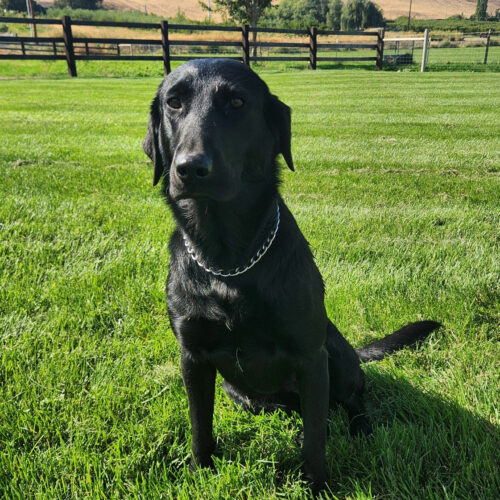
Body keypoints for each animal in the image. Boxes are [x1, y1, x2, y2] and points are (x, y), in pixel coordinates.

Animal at [143, 59, 440, 492]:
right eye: (174, 102)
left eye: (237, 102)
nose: (190, 168)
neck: (227, 262)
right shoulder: (193, 357)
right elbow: (200, 426)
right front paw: (202, 471)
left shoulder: (311, 357)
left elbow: (316, 440)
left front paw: (317, 487)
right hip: (238, 389)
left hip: (336, 355)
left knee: (351, 400)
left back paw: (360, 429)